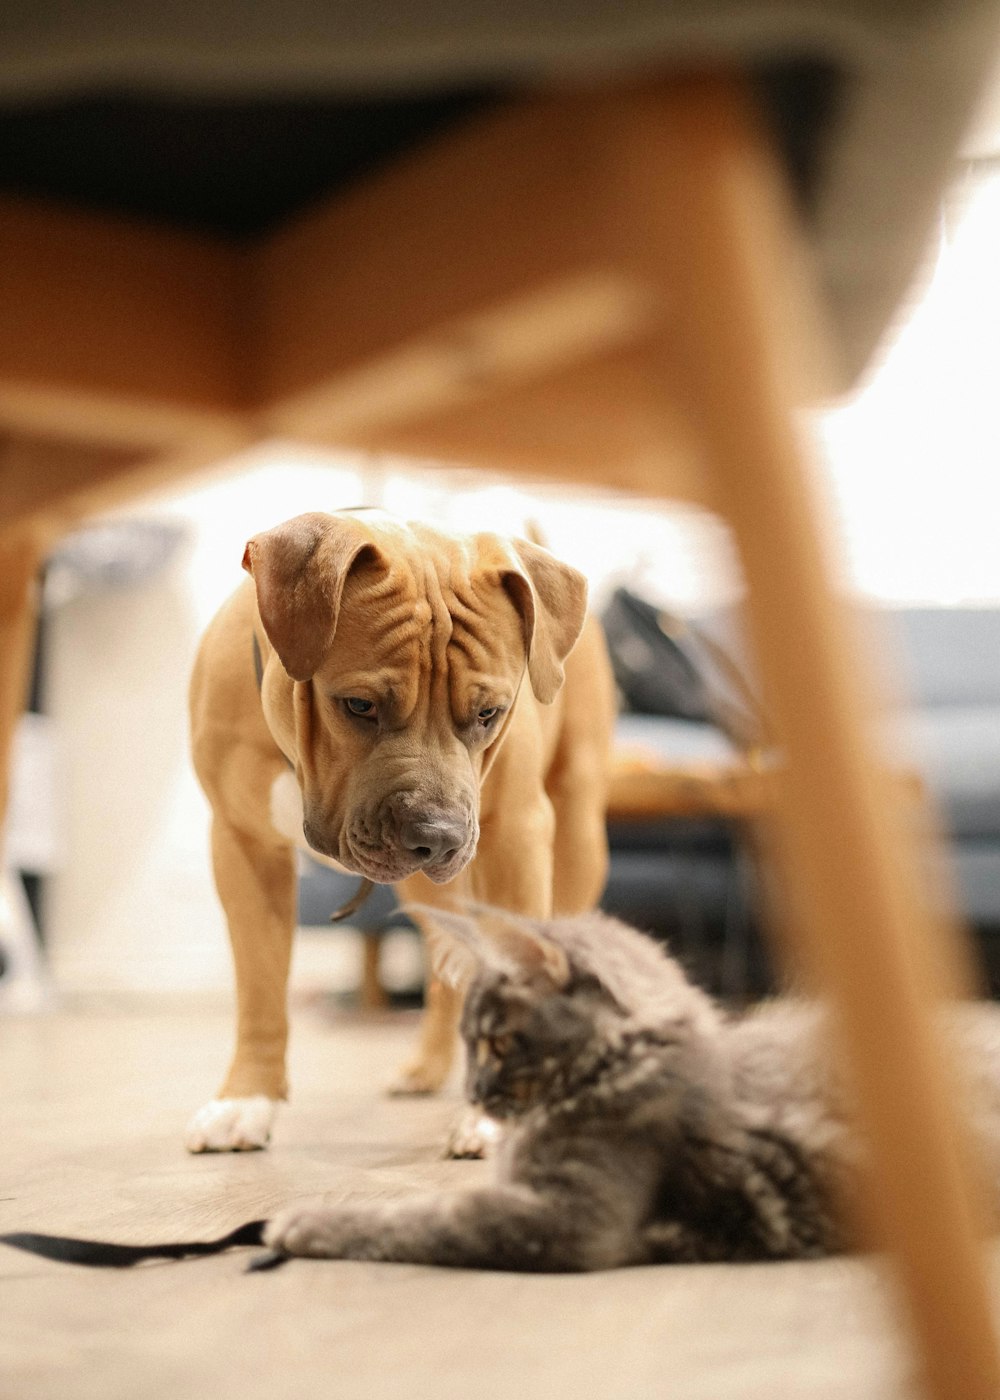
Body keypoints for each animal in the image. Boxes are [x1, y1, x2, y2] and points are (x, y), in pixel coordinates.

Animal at [183, 509, 610, 1153]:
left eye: (489, 714)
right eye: (358, 705)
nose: (439, 833)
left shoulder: (513, 837)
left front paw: (495, 1118)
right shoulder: (242, 846)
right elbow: (260, 989)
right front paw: (246, 1100)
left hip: (576, 836)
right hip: (423, 885)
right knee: (447, 967)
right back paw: (426, 1067)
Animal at [263, 901, 997, 1276]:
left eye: (497, 1044)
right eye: (467, 1046)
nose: (472, 1092)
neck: (625, 1060)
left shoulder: (571, 1219)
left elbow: (424, 1217)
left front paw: (303, 1223)